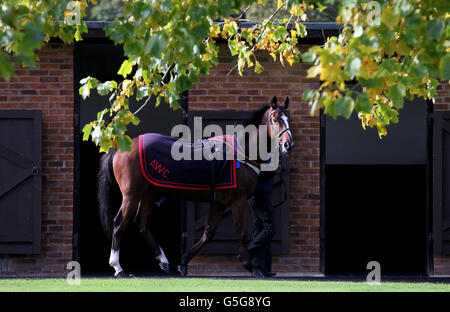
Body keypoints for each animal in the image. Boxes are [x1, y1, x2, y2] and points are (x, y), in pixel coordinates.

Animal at [98, 96, 294, 276]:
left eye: (287, 119)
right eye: (275, 119)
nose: (288, 144)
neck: (241, 153)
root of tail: (121, 147)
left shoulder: (219, 202)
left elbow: (209, 233)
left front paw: (183, 263)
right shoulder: (238, 200)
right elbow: (242, 233)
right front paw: (251, 267)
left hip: (148, 194)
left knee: (142, 224)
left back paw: (164, 261)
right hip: (131, 195)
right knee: (119, 223)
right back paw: (118, 267)